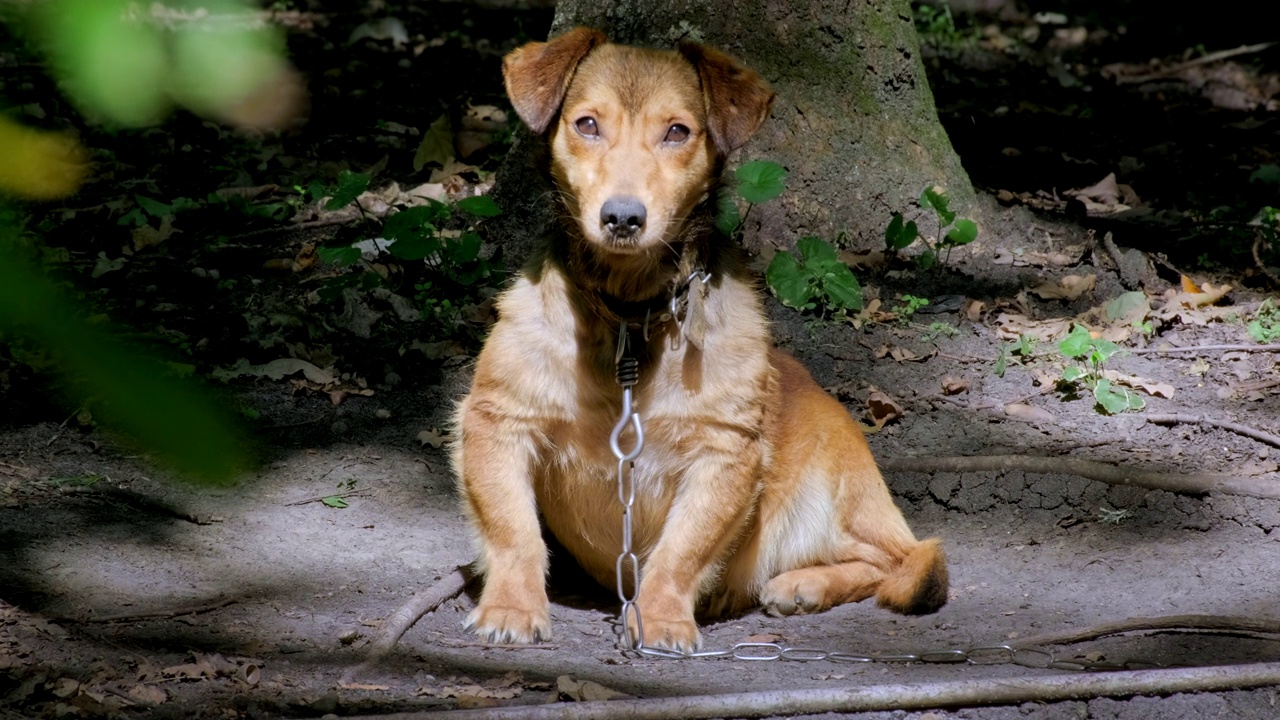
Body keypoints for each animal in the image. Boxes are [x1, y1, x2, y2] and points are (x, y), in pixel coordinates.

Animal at [453, 26, 952, 650]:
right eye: (587, 124)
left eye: (677, 132)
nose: (623, 217)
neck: (630, 316)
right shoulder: (497, 424)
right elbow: (514, 531)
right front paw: (512, 606)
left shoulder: (724, 453)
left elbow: (681, 551)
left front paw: (661, 615)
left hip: (834, 494)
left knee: (898, 560)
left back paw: (805, 584)